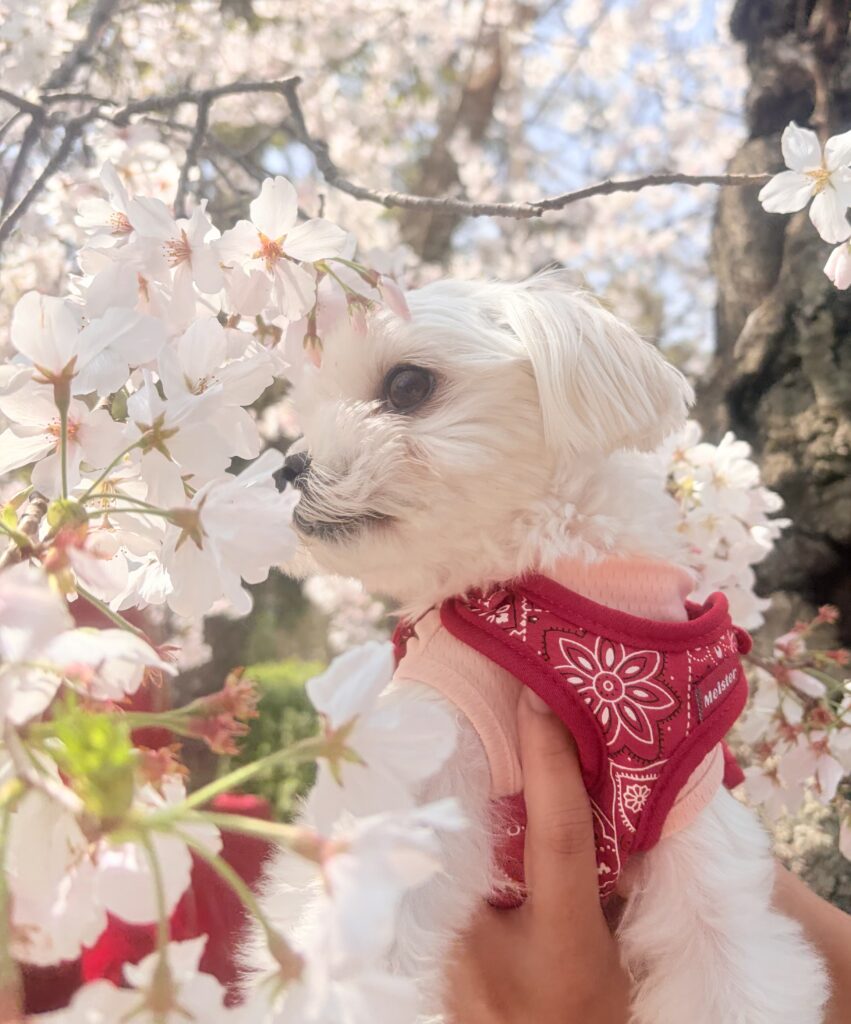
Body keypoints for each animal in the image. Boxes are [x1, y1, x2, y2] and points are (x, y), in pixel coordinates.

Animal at [259, 273, 828, 1024]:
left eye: (407, 385)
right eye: (307, 408)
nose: (287, 467)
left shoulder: (692, 818)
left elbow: (726, 968)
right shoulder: (419, 769)